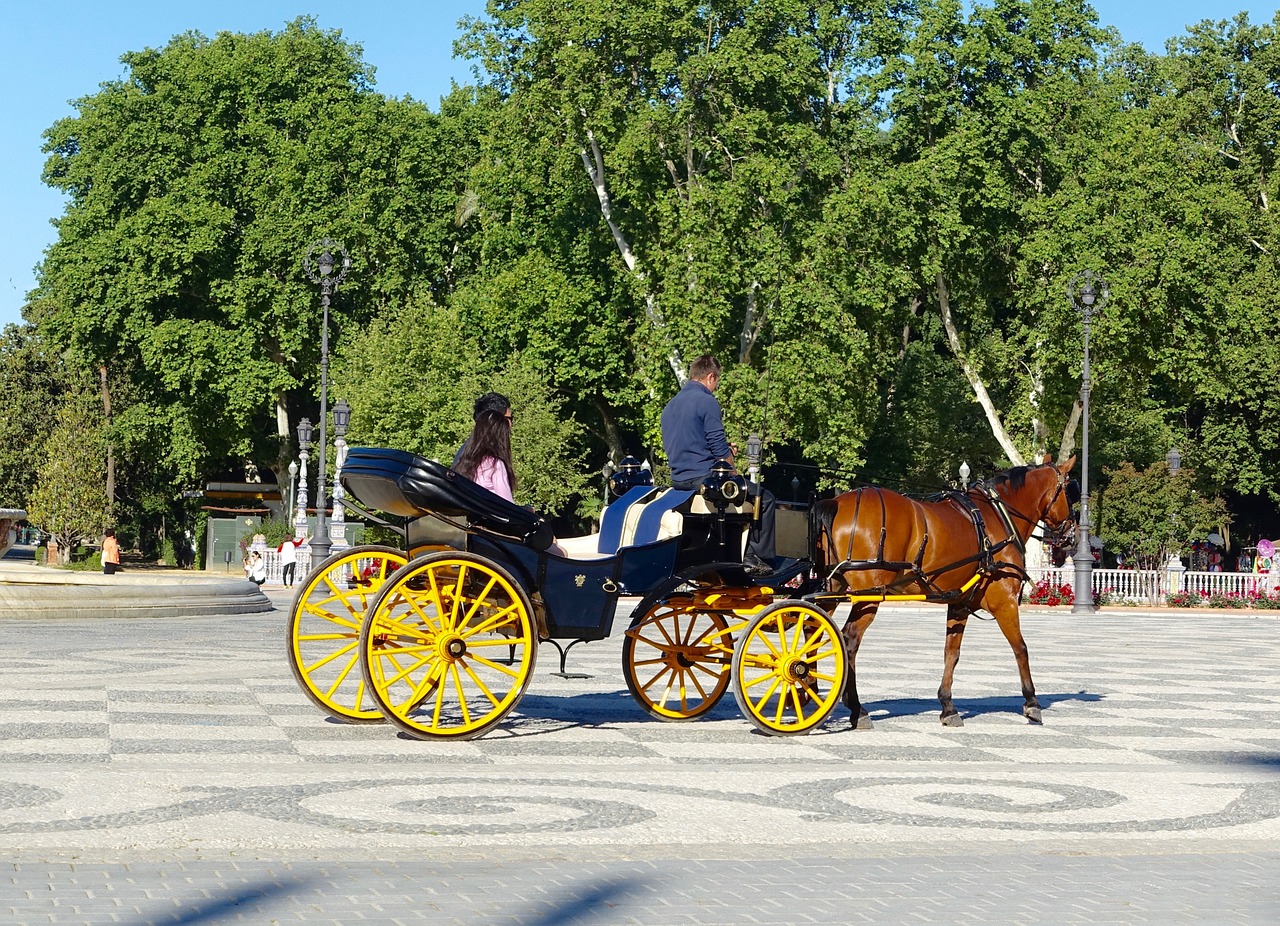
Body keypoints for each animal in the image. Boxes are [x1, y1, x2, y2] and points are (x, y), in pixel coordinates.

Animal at [814, 455, 1075, 732]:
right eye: (1069, 491)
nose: (1071, 534)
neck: (998, 514)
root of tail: (837, 502)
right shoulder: (1004, 601)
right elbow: (1020, 648)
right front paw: (1032, 703)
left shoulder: (959, 604)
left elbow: (952, 653)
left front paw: (948, 706)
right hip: (867, 596)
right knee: (848, 640)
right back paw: (856, 709)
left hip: (832, 588)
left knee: (813, 628)